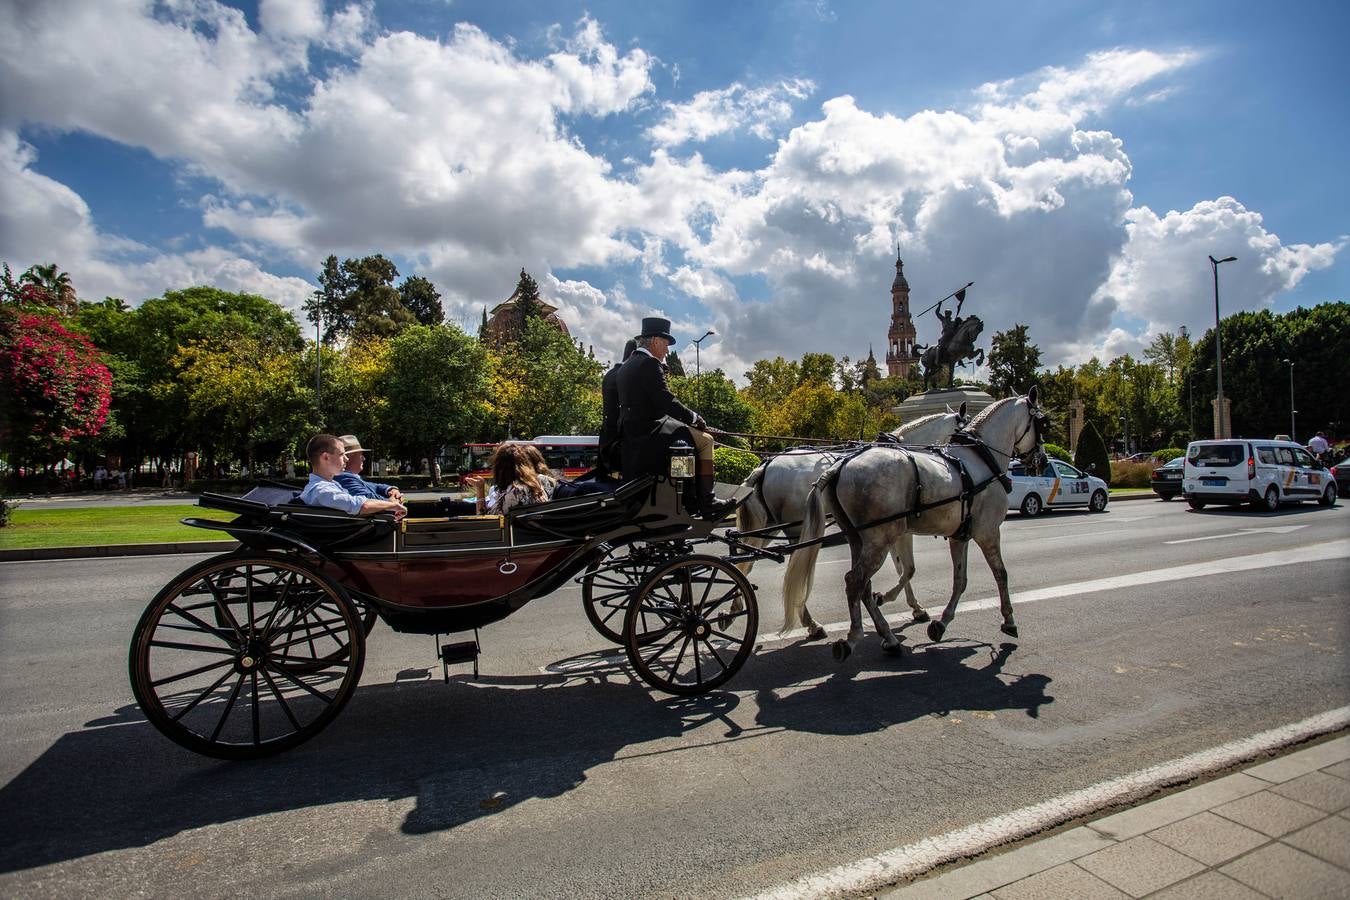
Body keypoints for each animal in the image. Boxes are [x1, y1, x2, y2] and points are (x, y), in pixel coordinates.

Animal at [734, 404, 966, 636]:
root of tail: (766, 465)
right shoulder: (897, 531)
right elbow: (907, 569)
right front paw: (900, 602)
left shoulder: (888, 531)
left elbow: (901, 568)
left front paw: (913, 607)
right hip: (797, 530)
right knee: (795, 567)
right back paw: (811, 623)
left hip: (770, 526)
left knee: (748, 563)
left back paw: (735, 607)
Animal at [783, 388, 1053, 661]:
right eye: (1043, 423)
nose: (1041, 461)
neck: (980, 459)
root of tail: (839, 466)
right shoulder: (987, 532)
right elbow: (1000, 574)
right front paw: (1008, 620)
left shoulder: (958, 536)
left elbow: (958, 580)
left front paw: (939, 623)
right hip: (878, 538)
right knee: (854, 581)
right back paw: (852, 637)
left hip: (858, 538)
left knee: (863, 586)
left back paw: (887, 637)